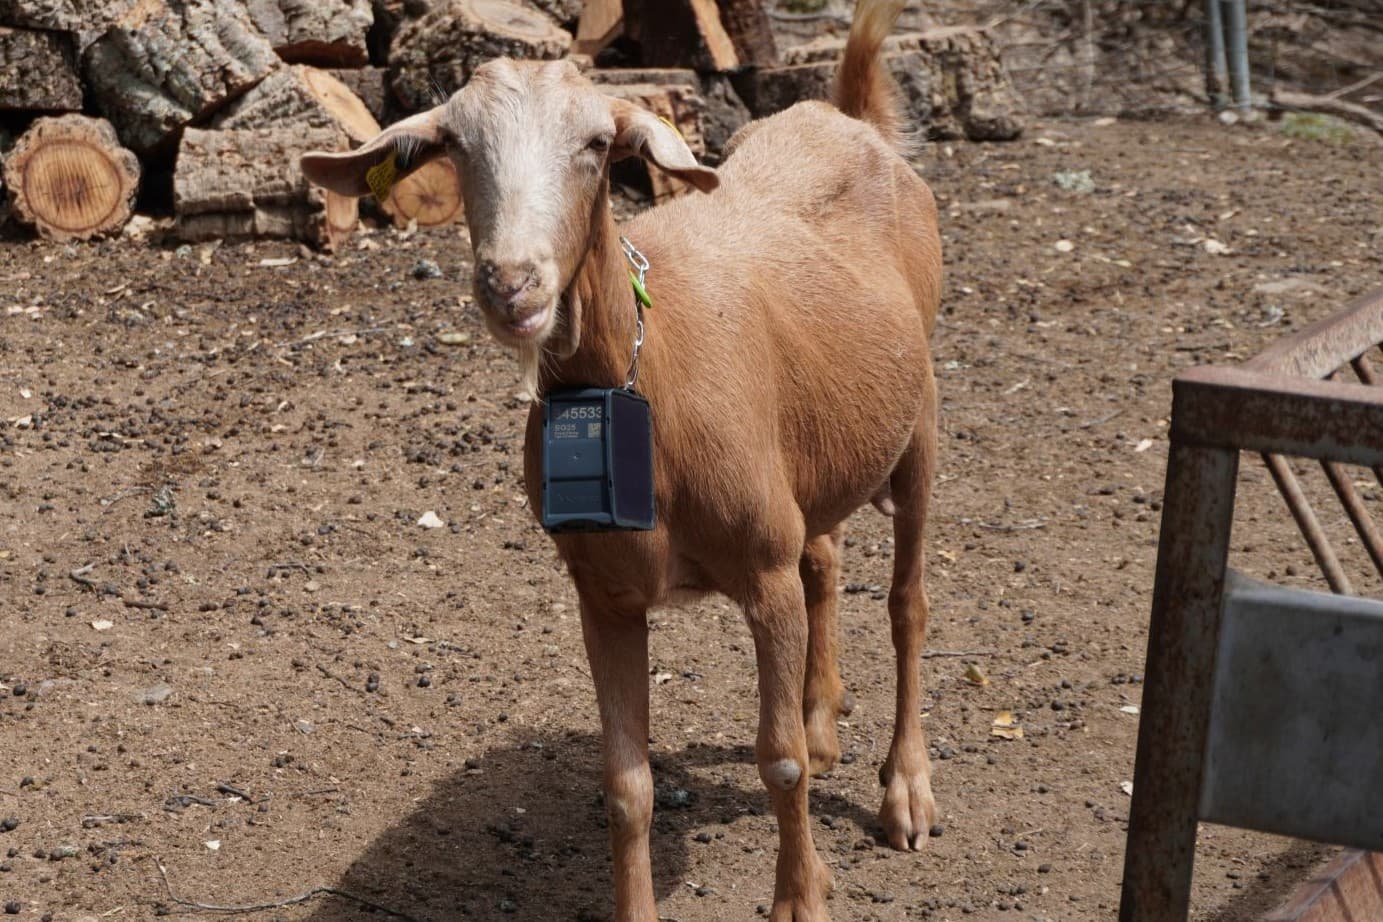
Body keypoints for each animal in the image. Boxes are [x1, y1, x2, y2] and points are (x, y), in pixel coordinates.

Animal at [301, 0, 942, 916]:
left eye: (598, 144)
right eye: (455, 145)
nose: (512, 284)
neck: (651, 365)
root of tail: (845, 117)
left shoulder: (761, 568)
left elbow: (776, 761)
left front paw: (800, 896)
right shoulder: (601, 590)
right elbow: (626, 786)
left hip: (920, 418)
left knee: (907, 603)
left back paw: (905, 793)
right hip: (816, 448)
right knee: (825, 557)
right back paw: (824, 722)